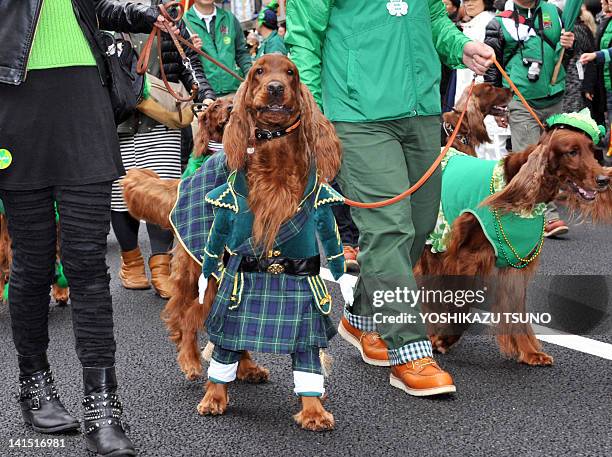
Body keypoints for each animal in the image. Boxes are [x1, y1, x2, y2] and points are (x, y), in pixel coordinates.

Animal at [416, 126, 612, 366]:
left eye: (592, 151)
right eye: (572, 152)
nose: (604, 180)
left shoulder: (517, 264)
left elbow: (517, 310)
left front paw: (530, 353)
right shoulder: (465, 258)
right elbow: (461, 307)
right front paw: (443, 339)